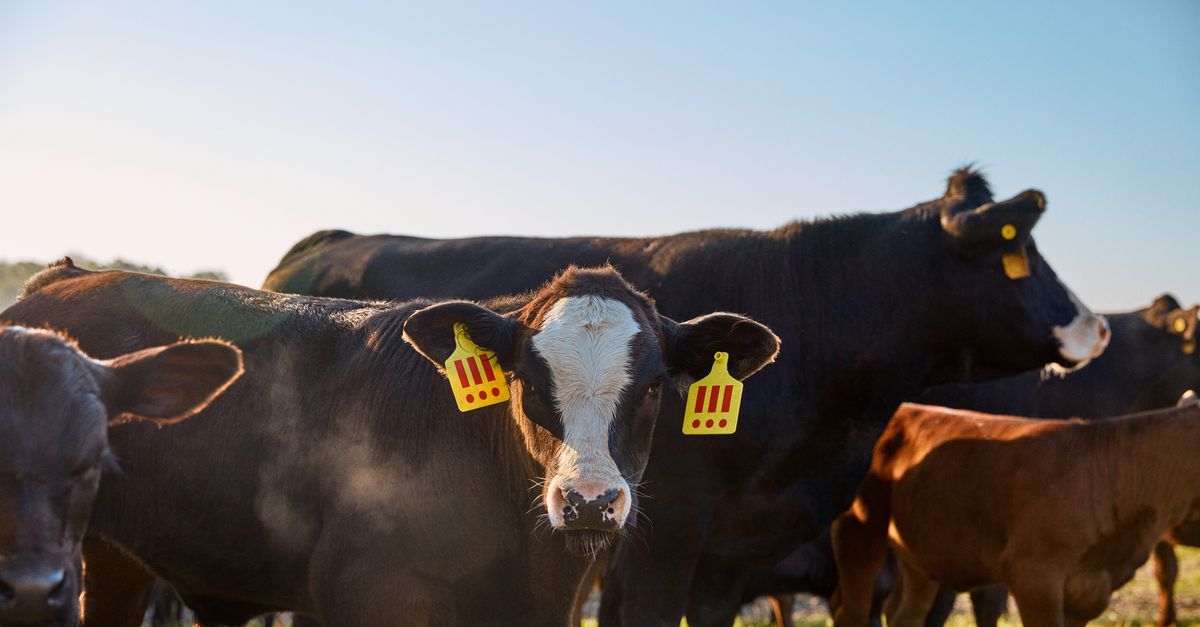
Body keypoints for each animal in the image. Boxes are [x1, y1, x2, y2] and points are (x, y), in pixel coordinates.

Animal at [832, 400, 1200, 627]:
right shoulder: (1033, 576)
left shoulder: (1090, 590)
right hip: (859, 530)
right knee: (852, 609)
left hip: (920, 555)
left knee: (905, 614)